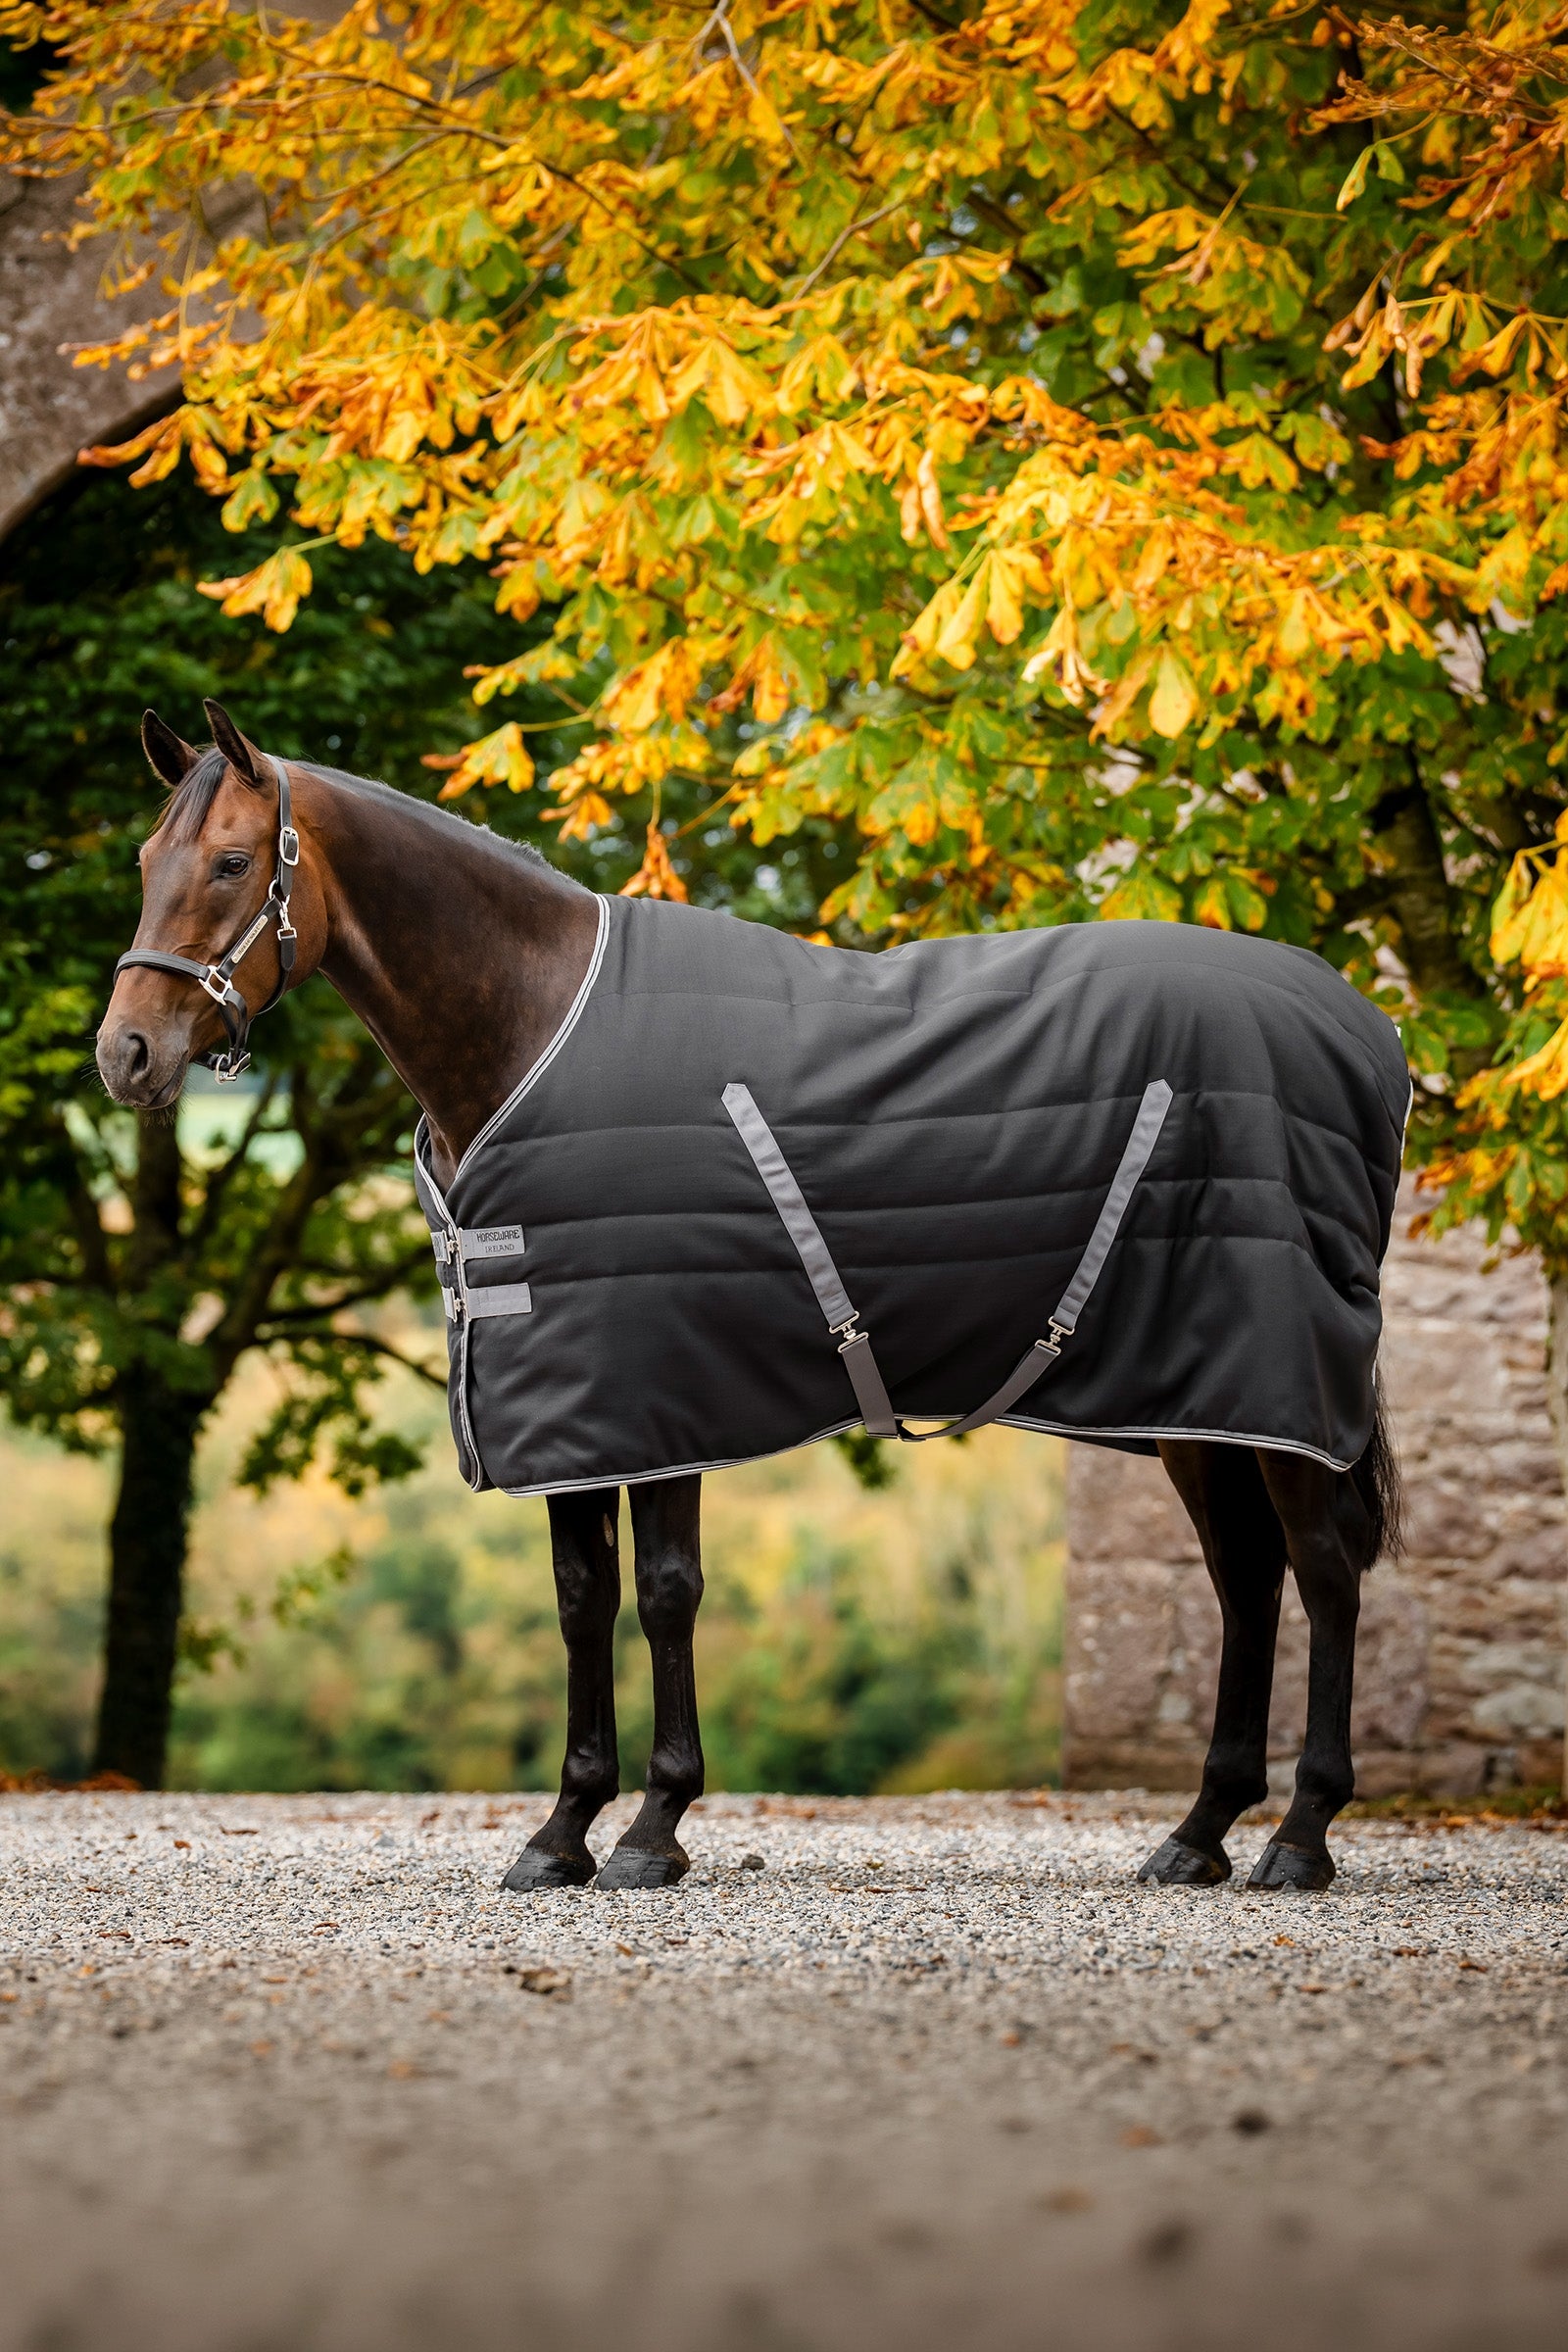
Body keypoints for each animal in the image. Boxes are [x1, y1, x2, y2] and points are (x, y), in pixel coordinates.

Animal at [97, 702, 1408, 1896]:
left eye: (230, 863)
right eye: (146, 863)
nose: (124, 1055)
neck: (529, 1022)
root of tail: (1364, 1026)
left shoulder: (651, 1384)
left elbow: (666, 1595)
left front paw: (651, 1830)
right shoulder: (565, 1405)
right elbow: (582, 1600)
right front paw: (561, 1832)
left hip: (1279, 1389)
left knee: (1324, 1569)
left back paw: (1299, 1837)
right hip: (1202, 1404)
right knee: (1247, 1576)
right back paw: (1199, 1832)